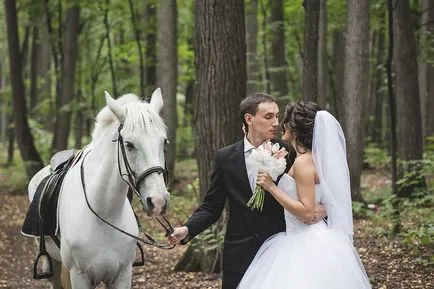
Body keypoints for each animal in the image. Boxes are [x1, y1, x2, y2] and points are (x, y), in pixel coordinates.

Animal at [27, 88, 171, 288]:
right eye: (129, 145)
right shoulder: (80, 276)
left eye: (164, 142)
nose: (158, 202)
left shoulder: (122, 276)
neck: (104, 213)